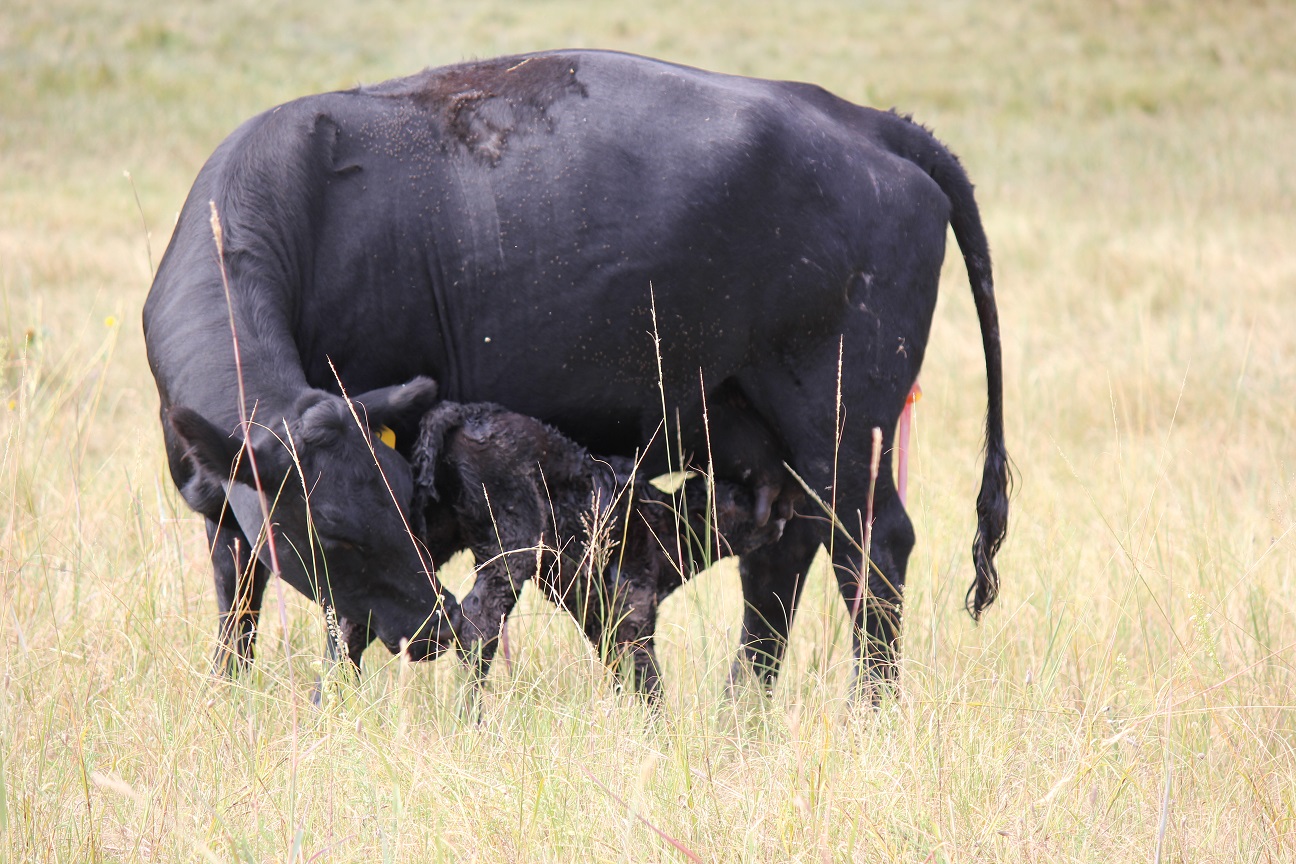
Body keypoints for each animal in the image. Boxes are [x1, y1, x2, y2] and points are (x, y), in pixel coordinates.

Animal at [409, 401, 782, 699]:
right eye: (739, 498)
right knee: (477, 624)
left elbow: (622, 677)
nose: (782, 510)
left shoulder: (601, 622)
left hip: (436, 530)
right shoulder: (632, 614)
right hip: (512, 543)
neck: (665, 524)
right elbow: (649, 682)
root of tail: (466, 412)